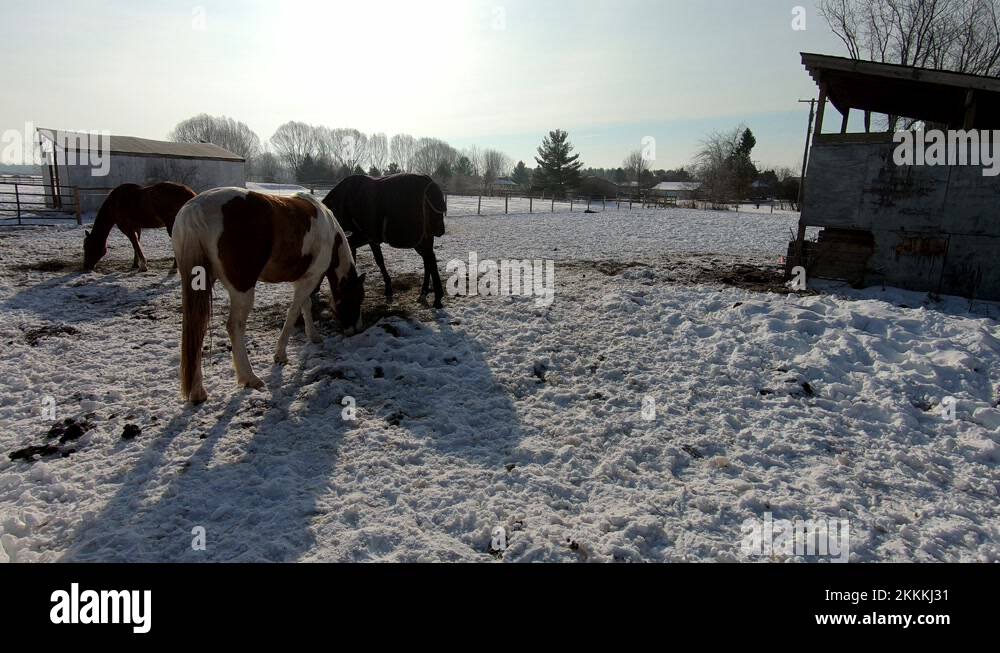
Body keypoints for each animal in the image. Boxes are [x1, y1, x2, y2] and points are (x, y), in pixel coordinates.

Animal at [172, 188, 365, 404]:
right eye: (356, 298)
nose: (358, 329)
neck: (330, 233)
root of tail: (196, 207)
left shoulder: (302, 279)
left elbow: (305, 306)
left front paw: (313, 336)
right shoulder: (311, 277)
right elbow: (293, 312)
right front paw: (280, 354)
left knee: (197, 329)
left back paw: (198, 391)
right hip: (243, 289)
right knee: (234, 326)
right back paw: (250, 377)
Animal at [322, 174, 447, 308]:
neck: (345, 200)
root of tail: (430, 183)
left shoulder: (364, 236)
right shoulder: (369, 239)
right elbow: (378, 260)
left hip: (422, 239)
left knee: (430, 260)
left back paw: (437, 297)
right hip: (421, 240)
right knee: (428, 260)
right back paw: (424, 292)